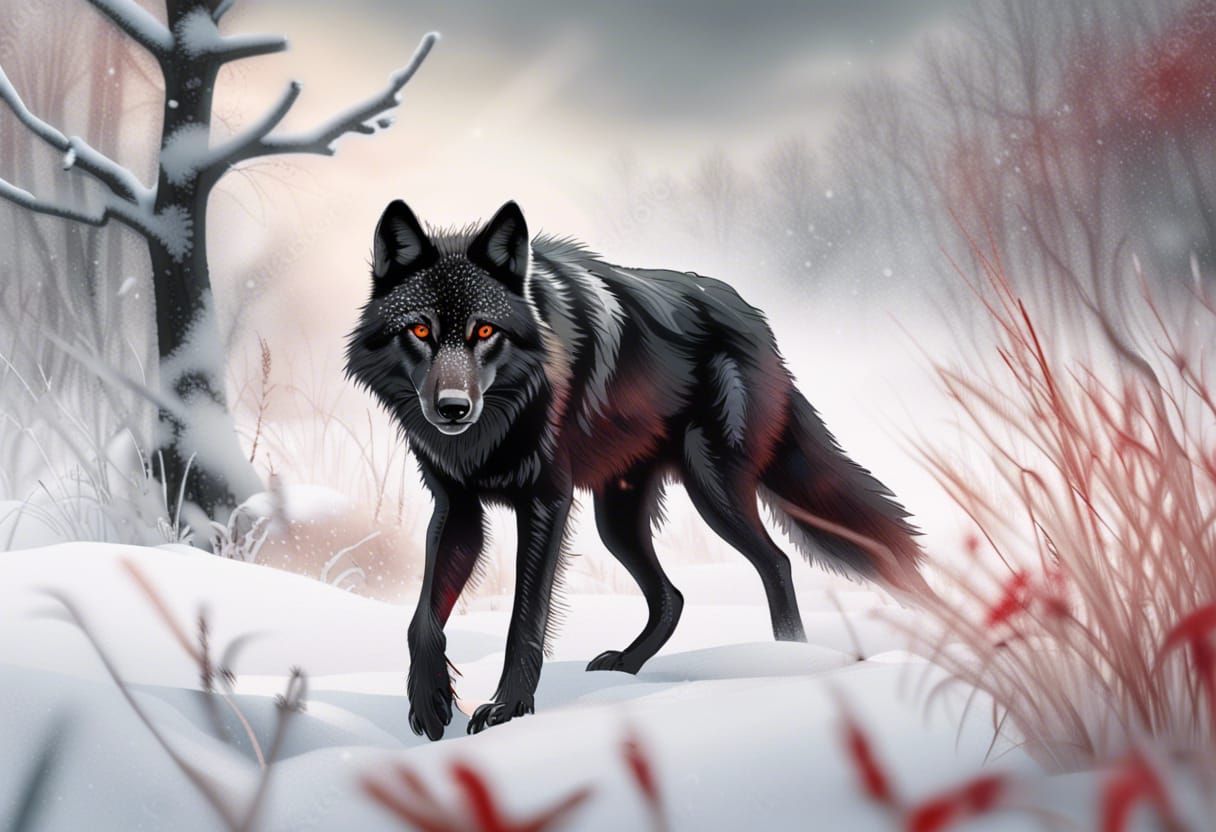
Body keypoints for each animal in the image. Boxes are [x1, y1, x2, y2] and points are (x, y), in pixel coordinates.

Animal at [346, 200, 928, 740]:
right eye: (420, 330)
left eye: (485, 330)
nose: (452, 408)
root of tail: (756, 320)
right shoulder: (458, 508)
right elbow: (422, 619)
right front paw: (429, 703)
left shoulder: (546, 502)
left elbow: (524, 618)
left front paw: (508, 708)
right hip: (617, 518)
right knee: (673, 596)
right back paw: (627, 665)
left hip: (712, 489)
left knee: (776, 563)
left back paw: (786, 662)